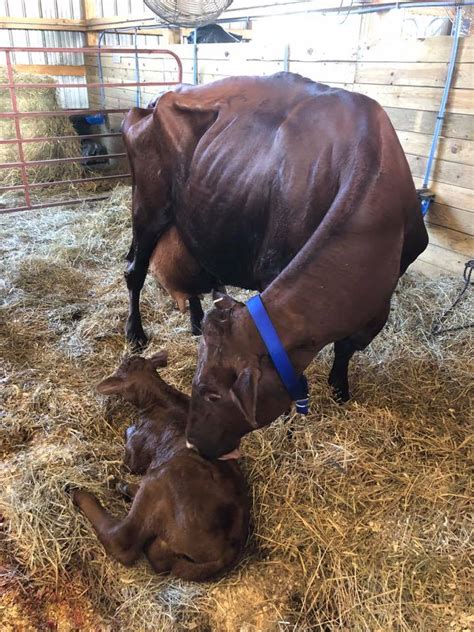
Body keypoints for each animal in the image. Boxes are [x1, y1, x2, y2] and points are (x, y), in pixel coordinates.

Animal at [71, 354, 248, 580]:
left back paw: (82, 493)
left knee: (122, 540)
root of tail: (229, 547)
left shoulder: (136, 451)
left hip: (162, 476)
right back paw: (125, 488)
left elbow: (129, 454)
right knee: (158, 557)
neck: (162, 397)